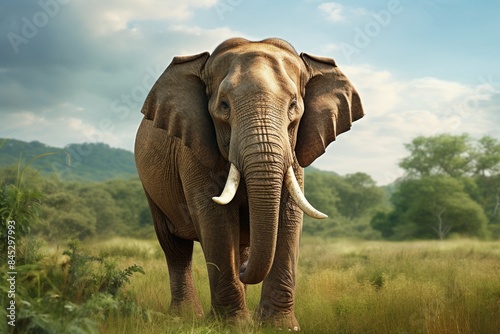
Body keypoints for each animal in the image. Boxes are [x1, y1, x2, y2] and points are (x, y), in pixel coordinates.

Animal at [135, 37, 364, 328]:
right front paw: (232, 326)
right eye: (224, 106)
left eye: (293, 106)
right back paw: (185, 316)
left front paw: (280, 327)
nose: (243, 271)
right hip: (150, 187)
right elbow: (215, 217)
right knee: (175, 247)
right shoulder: (193, 147)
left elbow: (289, 217)